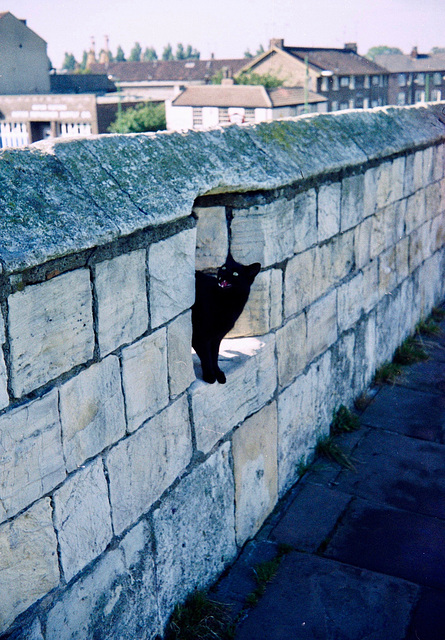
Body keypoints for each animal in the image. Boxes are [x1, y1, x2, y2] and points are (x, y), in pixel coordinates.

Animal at [191, 254, 260, 384]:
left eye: (235, 274)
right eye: (223, 268)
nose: (224, 273)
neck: (226, 302)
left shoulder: (216, 338)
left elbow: (214, 356)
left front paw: (218, 373)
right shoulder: (200, 336)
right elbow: (206, 357)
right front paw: (209, 375)